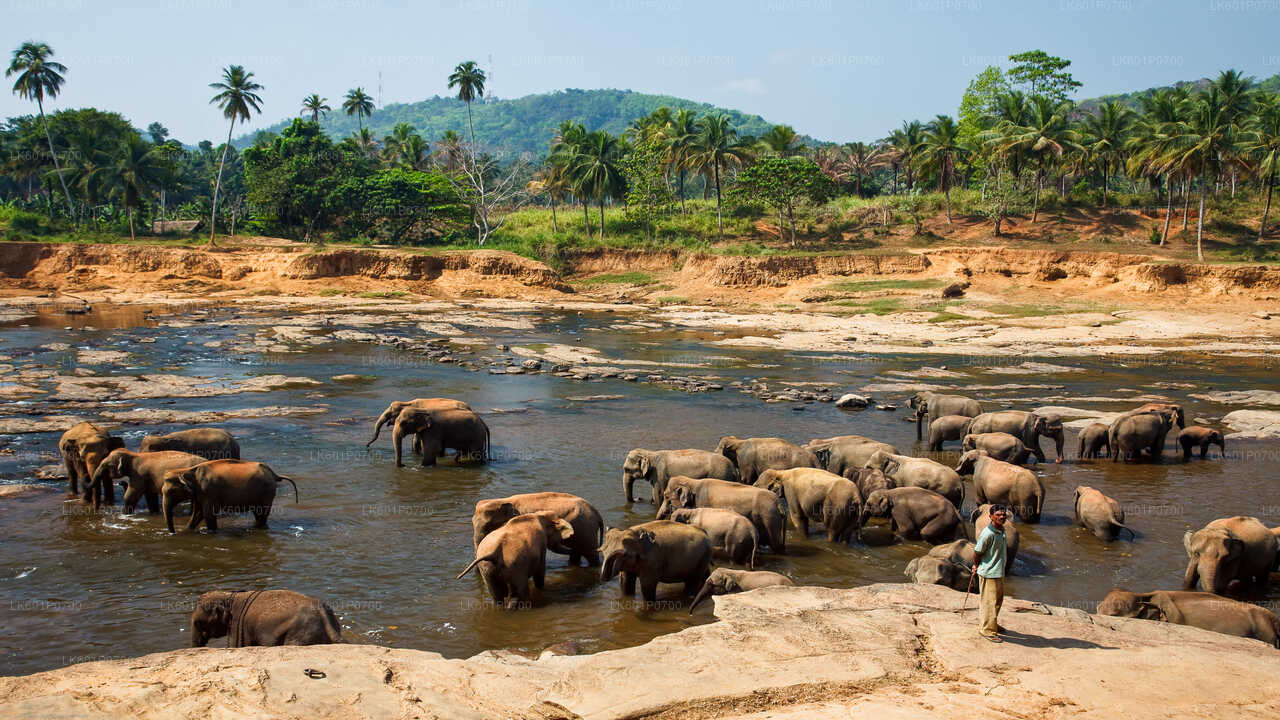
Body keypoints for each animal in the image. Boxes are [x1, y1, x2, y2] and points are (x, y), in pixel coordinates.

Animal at [161, 460, 299, 534]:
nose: (173, 533)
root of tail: (275, 474)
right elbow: (197, 514)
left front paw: (211, 532)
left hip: (267, 492)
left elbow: (208, 514)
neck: (188, 470)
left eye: (171, 492)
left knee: (262, 514)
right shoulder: (200, 493)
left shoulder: (209, 492)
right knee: (258, 513)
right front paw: (187, 531)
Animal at [658, 476, 787, 553]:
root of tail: (780, 505)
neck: (692, 481)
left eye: (666, 497)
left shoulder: (703, 503)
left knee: (775, 544)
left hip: (770, 519)